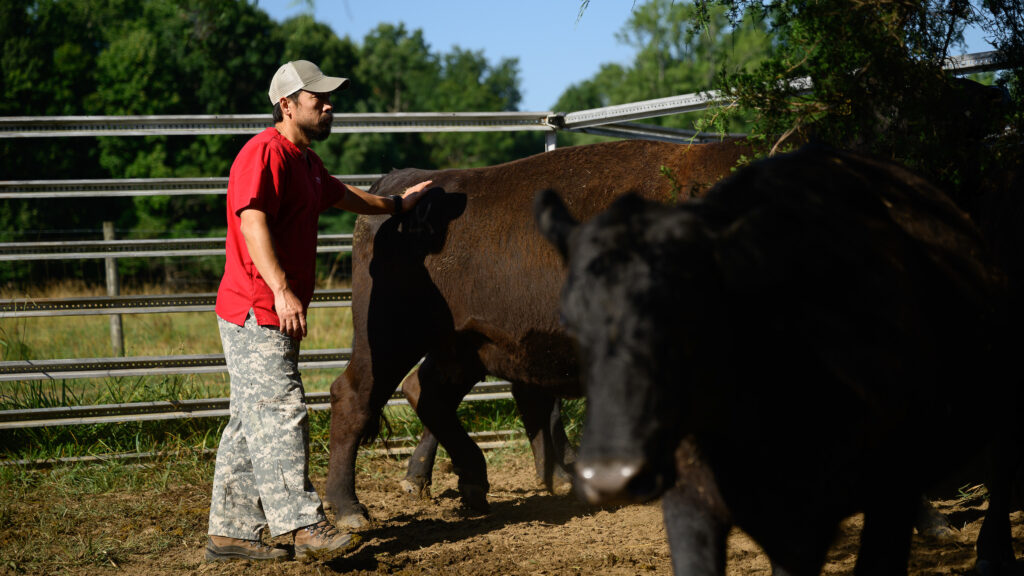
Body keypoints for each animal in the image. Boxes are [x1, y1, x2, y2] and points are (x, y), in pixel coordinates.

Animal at [325, 136, 753, 528]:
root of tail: (400, 185)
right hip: (392, 338)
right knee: (355, 395)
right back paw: (349, 510)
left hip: (464, 346)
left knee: (429, 391)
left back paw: (477, 485)